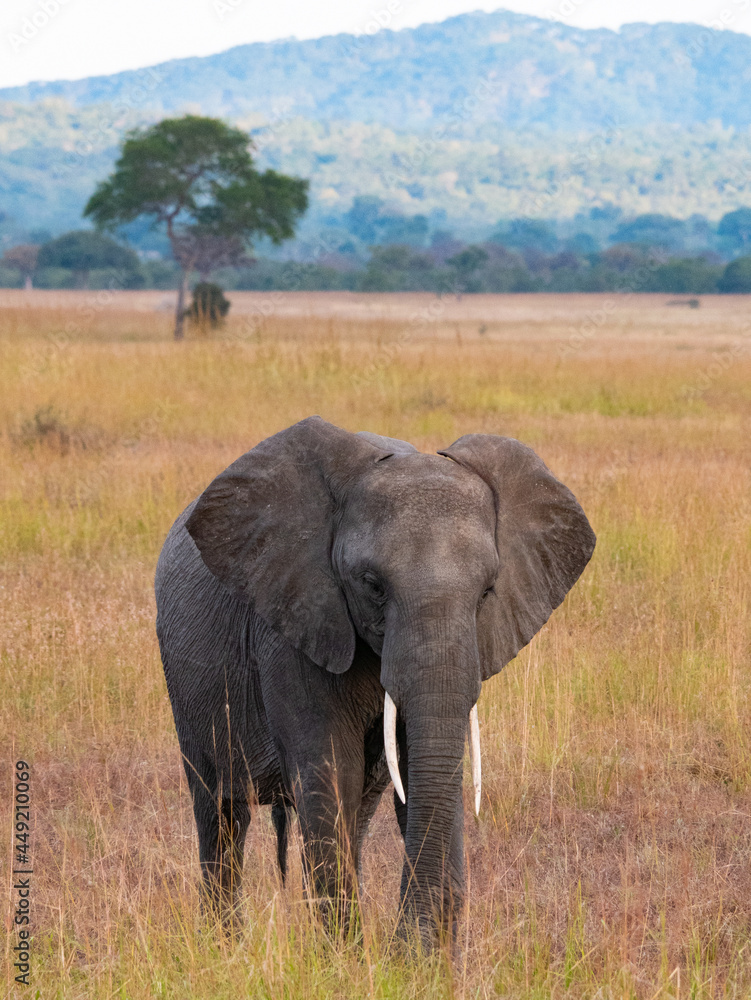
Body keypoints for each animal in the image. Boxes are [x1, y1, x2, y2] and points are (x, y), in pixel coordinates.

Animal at [155, 416, 595, 948]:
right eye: (372, 584)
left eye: (488, 591)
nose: (408, 945)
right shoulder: (296, 619)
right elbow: (329, 772)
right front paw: (344, 957)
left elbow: (420, 772)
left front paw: (416, 957)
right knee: (220, 815)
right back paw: (225, 947)